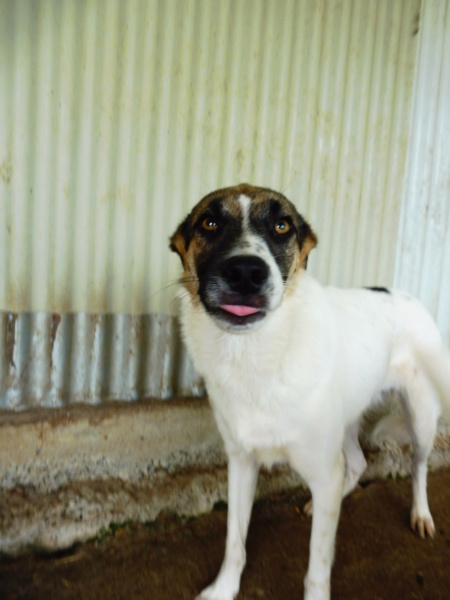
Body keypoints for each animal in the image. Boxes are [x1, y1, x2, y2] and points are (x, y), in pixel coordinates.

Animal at [170, 184, 450, 600]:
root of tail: (410, 297)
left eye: (282, 226)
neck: (255, 355)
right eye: (209, 222)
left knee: (416, 466)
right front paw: (224, 588)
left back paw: (421, 514)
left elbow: (318, 567)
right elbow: (235, 541)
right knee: (357, 464)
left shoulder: (321, 468)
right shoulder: (241, 461)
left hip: (421, 418)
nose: (246, 273)